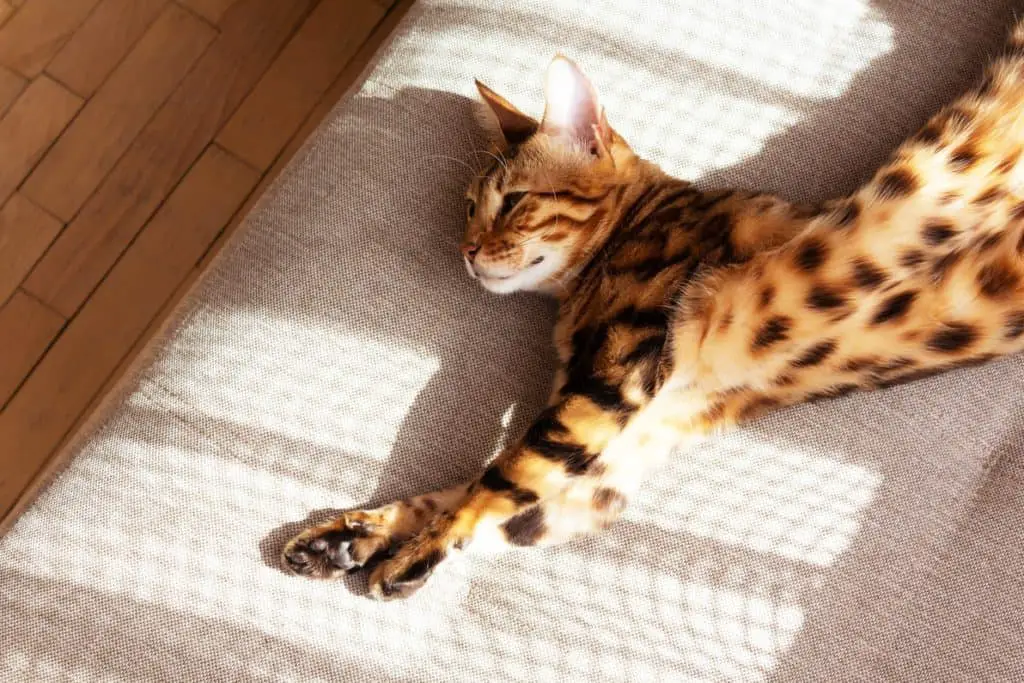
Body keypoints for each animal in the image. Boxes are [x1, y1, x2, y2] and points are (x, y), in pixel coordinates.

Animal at [284, 21, 1024, 602]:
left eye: (514, 200)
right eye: (468, 207)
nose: (465, 250)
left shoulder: (614, 379)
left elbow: (499, 478)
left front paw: (414, 551)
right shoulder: (621, 453)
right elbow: (483, 496)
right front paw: (354, 534)